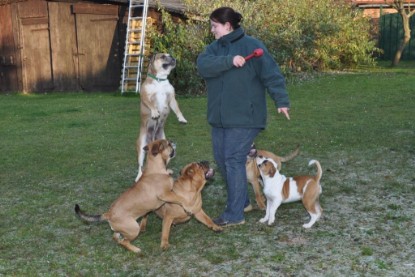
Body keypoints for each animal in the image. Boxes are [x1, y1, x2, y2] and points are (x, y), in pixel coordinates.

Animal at [136, 52, 188, 180]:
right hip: (141, 147)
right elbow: (151, 104)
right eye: (163, 56)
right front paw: (155, 113)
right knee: (140, 165)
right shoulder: (145, 96)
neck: (160, 80)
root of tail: (153, 141)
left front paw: (181, 119)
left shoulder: (172, 98)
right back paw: (138, 176)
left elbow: (177, 109)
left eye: (171, 55)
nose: (173, 58)